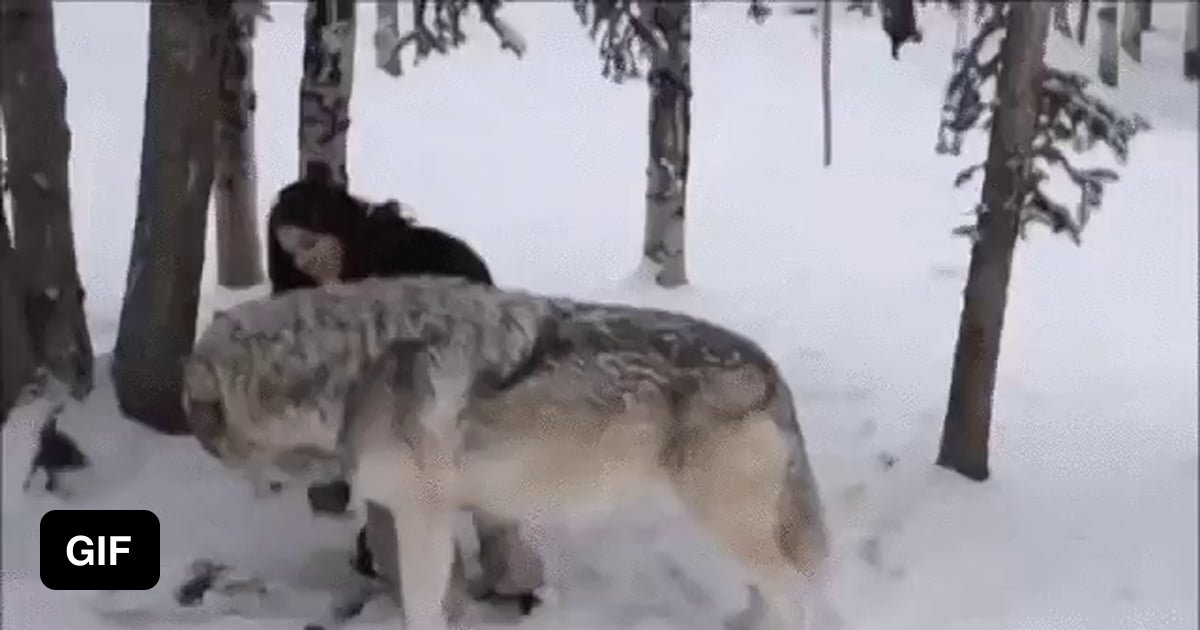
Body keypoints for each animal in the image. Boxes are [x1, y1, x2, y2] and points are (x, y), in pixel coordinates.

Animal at [181, 275, 832, 630]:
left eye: (204, 432)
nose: (327, 496)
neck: (349, 371)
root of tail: (769, 368)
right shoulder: (417, 515)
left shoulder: (421, 517)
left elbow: (423, 606)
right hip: (729, 524)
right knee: (766, 588)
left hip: (728, 519)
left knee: (793, 593)